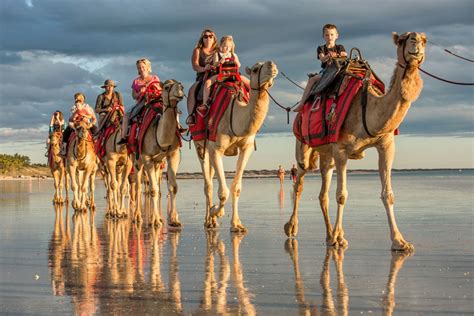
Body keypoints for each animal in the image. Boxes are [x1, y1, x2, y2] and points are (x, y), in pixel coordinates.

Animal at [133, 79, 187, 227]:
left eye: (181, 84)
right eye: (167, 87)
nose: (180, 88)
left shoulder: (173, 155)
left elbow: (172, 187)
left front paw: (174, 219)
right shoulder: (147, 157)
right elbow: (152, 190)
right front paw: (156, 221)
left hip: (158, 163)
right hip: (137, 160)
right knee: (138, 186)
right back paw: (138, 217)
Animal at [193, 60, 278, 231]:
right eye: (255, 69)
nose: (272, 65)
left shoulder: (247, 147)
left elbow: (236, 187)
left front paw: (236, 224)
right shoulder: (216, 148)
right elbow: (223, 191)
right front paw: (215, 211)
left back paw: (212, 220)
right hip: (199, 145)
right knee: (208, 184)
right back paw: (208, 220)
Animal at [284, 30, 428, 251]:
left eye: (424, 40)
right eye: (403, 40)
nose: (416, 44)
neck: (367, 108)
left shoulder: (386, 145)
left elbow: (388, 194)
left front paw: (400, 241)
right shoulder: (341, 150)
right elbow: (342, 194)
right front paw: (339, 239)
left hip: (327, 155)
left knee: (323, 193)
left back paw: (329, 235)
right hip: (303, 145)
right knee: (299, 181)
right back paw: (292, 228)